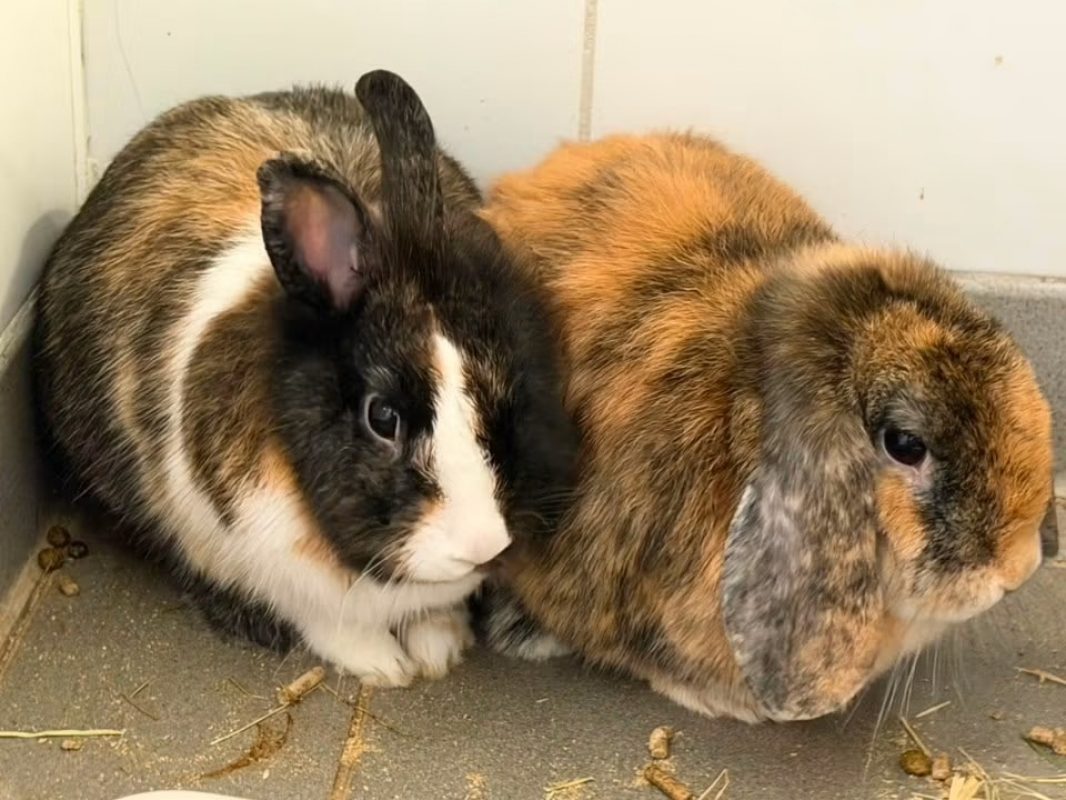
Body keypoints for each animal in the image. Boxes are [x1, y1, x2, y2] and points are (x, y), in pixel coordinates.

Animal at [33, 70, 576, 687]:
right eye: (381, 416)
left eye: (509, 387)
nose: (482, 545)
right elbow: (324, 621)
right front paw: (385, 666)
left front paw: (439, 646)